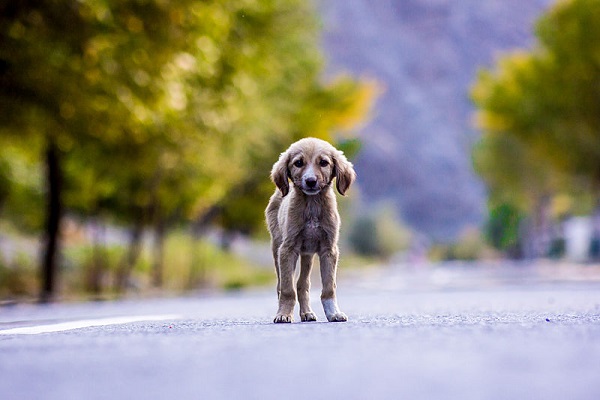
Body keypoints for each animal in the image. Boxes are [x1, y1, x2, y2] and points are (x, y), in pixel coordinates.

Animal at [264, 138, 354, 322]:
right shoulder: (287, 249)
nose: (310, 181)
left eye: (324, 162)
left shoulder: (329, 250)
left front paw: (333, 313)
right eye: (298, 163)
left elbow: (329, 287)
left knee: (302, 284)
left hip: (307, 254)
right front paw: (284, 314)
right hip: (277, 247)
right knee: (282, 285)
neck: (312, 204)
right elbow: (287, 289)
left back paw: (307, 313)